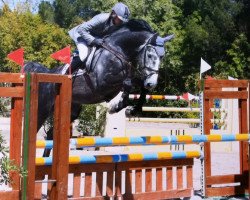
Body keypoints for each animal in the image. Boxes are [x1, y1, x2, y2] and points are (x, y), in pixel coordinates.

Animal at [23, 19, 174, 156]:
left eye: (162, 57)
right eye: (150, 55)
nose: (152, 83)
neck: (119, 52)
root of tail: (46, 74)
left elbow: (139, 86)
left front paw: (133, 110)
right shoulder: (102, 84)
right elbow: (127, 83)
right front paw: (116, 107)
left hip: (71, 111)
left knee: (50, 134)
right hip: (42, 108)